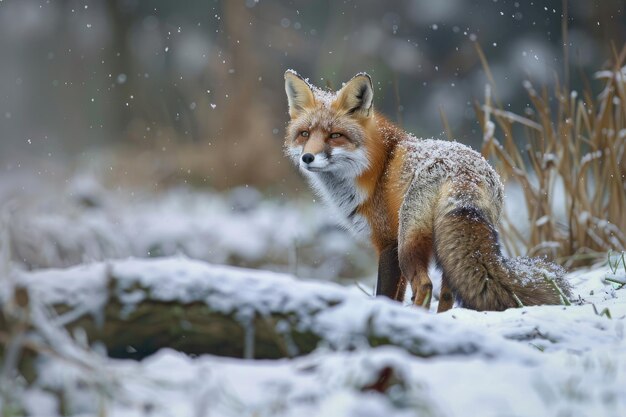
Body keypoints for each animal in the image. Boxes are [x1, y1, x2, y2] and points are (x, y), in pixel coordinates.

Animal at [286, 70, 568, 312]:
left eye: (335, 135)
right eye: (304, 134)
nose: (308, 158)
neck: (377, 166)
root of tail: (464, 174)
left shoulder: (388, 244)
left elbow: (385, 295)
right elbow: (399, 295)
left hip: (408, 242)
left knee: (425, 285)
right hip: (446, 247)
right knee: (448, 293)